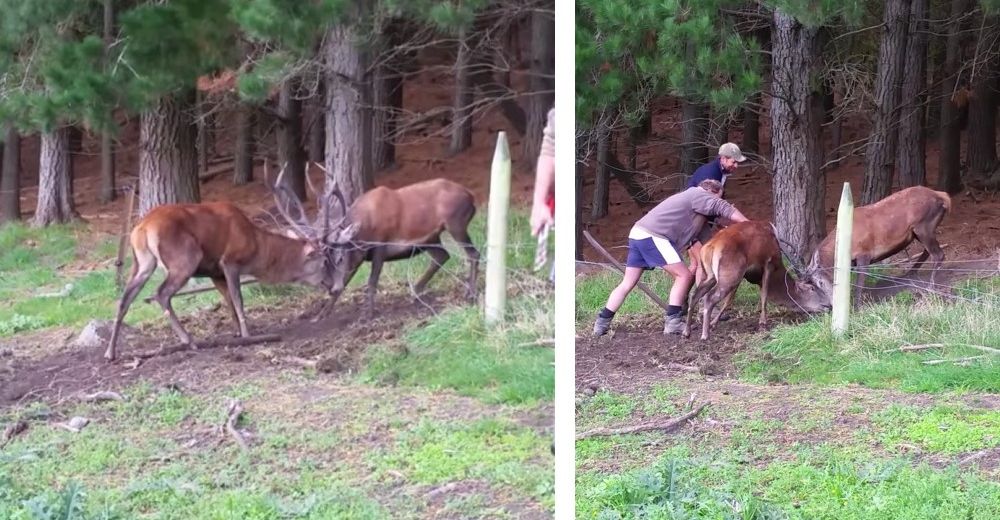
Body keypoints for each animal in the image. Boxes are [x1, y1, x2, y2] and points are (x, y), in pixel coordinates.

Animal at [107, 175, 336, 362]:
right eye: (325, 261)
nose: (333, 285)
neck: (257, 247)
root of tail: (143, 227)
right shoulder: (230, 261)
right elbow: (238, 299)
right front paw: (247, 335)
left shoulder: (214, 272)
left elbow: (228, 300)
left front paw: (237, 332)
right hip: (185, 257)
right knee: (161, 293)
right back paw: (189, 340)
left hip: (142, 262)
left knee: (124, 298)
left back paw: (111, 352)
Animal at [684, 220, 832, 340]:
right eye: (812, 288)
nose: (829, 305)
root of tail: (710, 247)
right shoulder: (768, 263)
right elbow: (764, 294)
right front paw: (763, 322)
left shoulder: (744, 274)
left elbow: (729, 300)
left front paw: (714, 323)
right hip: (730, 273)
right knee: (709, 297)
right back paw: (704, 335)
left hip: (711, 274)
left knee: (694, 294)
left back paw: (687, 331)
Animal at [796, 186, 952, 304]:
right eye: (812, 286)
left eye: (820, 282)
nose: (831, 305)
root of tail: (943, 197)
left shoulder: (864, 254)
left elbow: (859, 284)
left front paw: (857, 306)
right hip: (920, 231)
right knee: (928, 251)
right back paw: (910, 272)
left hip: (924, 226)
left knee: (938, 254)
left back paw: (930, 287)